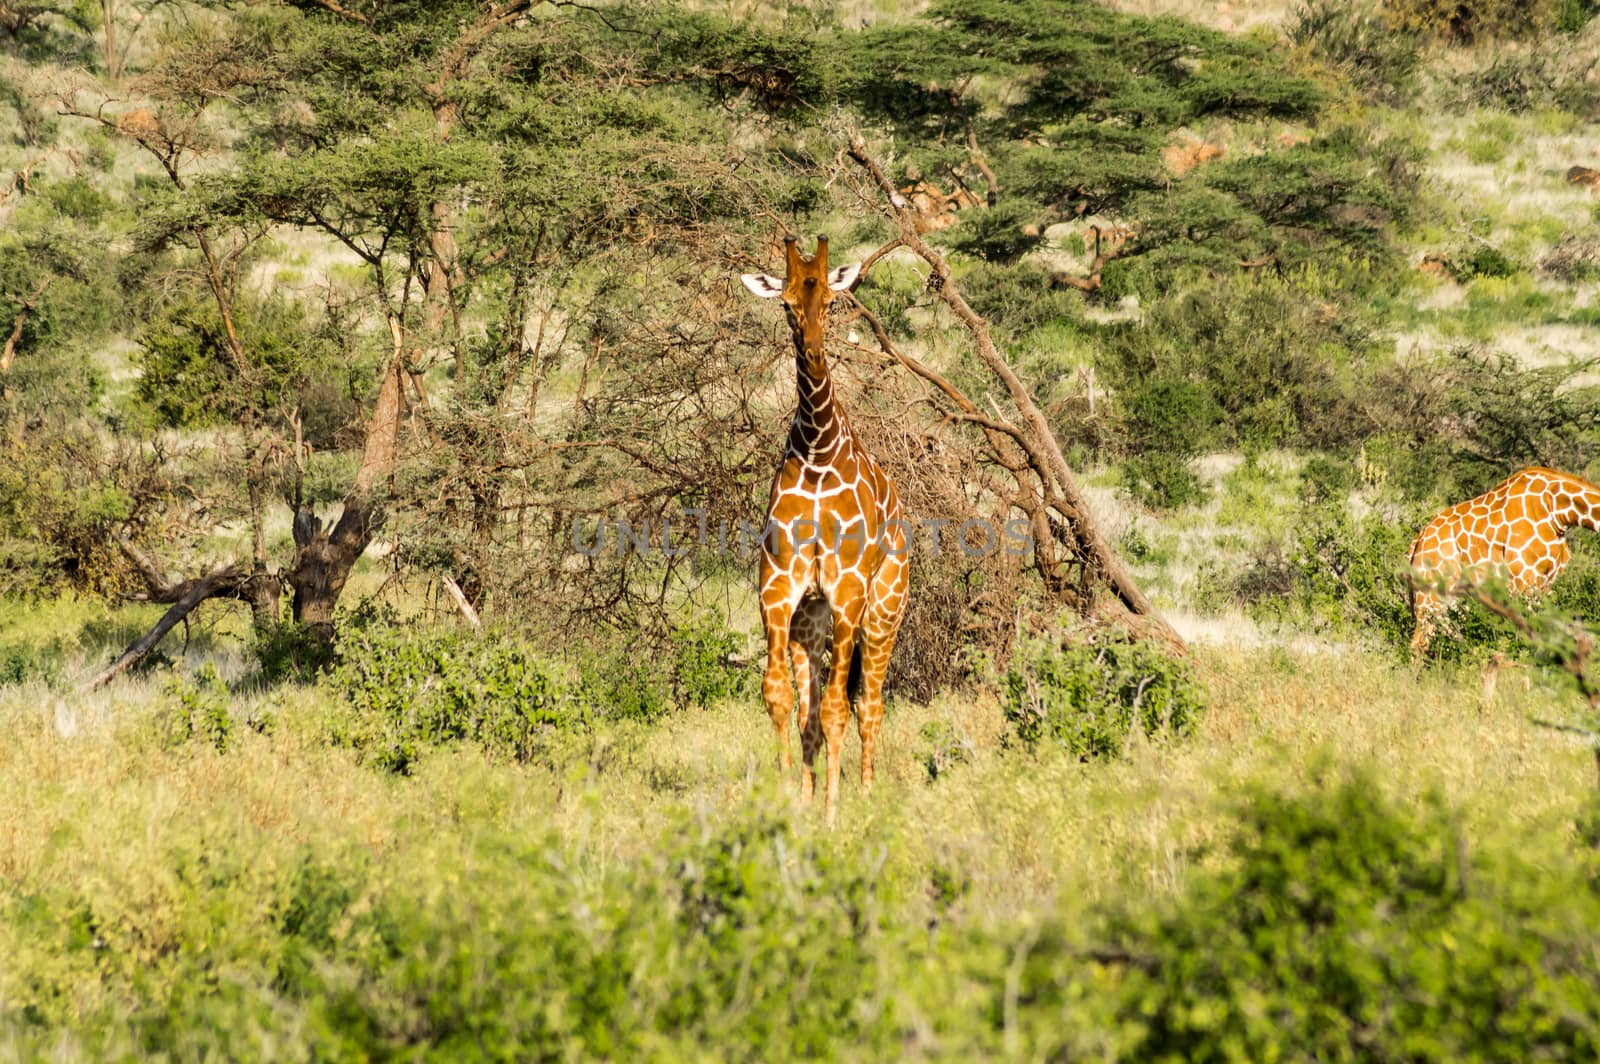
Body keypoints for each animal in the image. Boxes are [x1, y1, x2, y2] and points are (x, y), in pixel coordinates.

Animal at [739, 232, 908, 819]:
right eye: (788, 304)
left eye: (831, 303)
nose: (813, 354)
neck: (816, 449)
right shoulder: (778, 591)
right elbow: (780, 696)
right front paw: (791, 798)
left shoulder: (848, 592)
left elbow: (837, 706)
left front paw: (833, 814)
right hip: (810, 621)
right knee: (811, 709)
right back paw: (813, 790)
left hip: (883, 611)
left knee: (870, 702)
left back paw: (866, 793)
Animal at [1408, 467, 1600, 656]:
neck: (1558, 512)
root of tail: (1418, 540)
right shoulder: (1523, 578)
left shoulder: (1547, 580)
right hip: (1430, 593)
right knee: (1419, 642)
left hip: (1453, 595)